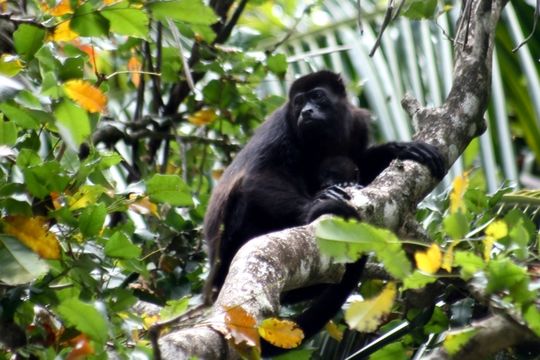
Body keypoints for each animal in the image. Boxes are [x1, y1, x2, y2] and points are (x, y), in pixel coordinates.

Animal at [202, 69, 442, 354]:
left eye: (317, 96)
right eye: (298, 102)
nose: (306, 111)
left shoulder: (358, 123)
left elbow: (361, 161)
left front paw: (400, 148)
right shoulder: (281, 127)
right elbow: (258, 179)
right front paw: (317, 203)